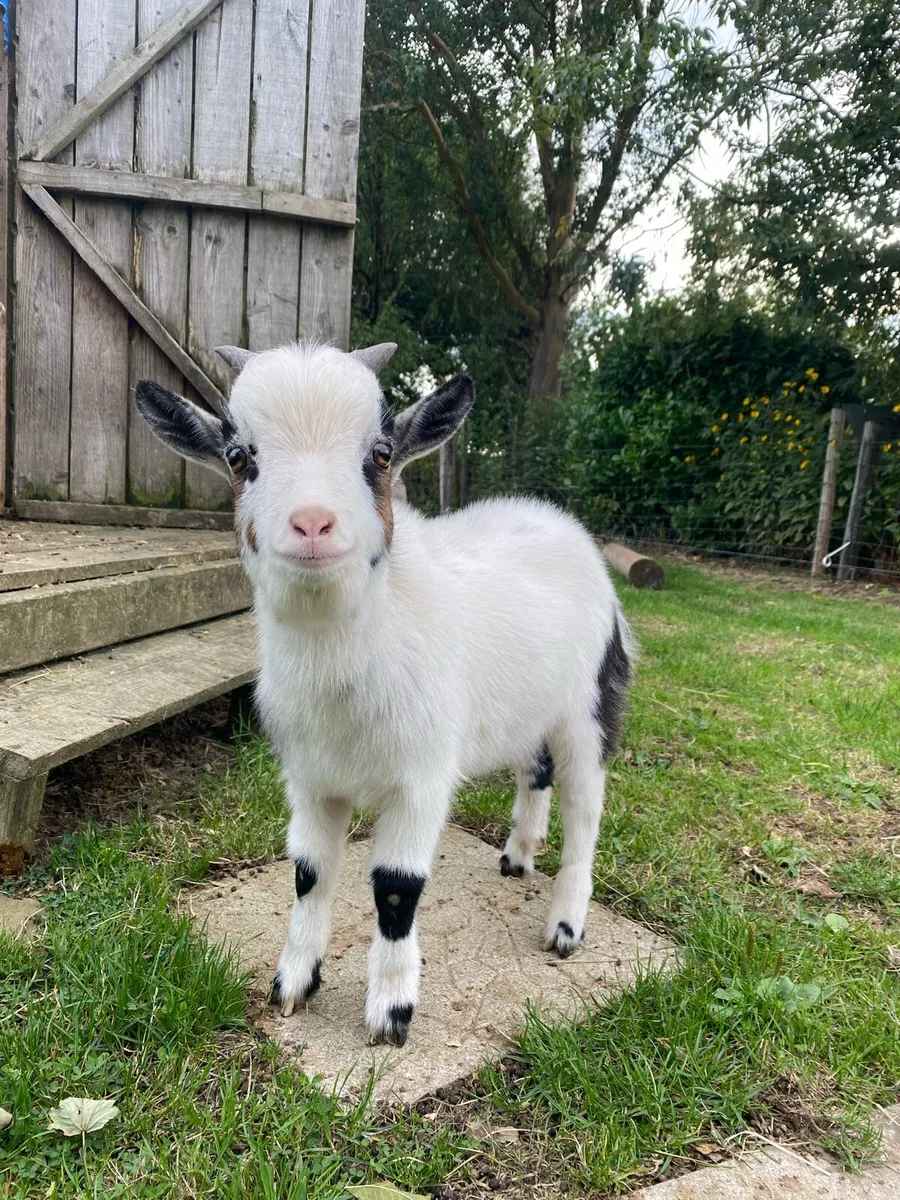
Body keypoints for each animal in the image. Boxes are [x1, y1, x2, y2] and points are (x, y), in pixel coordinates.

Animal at [134, 342, 632, 1046]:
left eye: (380, 453)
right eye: (238, 457)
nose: (313, 523)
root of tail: (554, 518)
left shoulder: (420, 777)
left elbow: (397, 889)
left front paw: (391, 1013)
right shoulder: (310, 777)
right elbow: (309, 873)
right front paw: (293, 984)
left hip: (589, 703)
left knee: (585, 806)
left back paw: (565, 924)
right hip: (526, 708)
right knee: (534, 770)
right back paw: (517, 856)